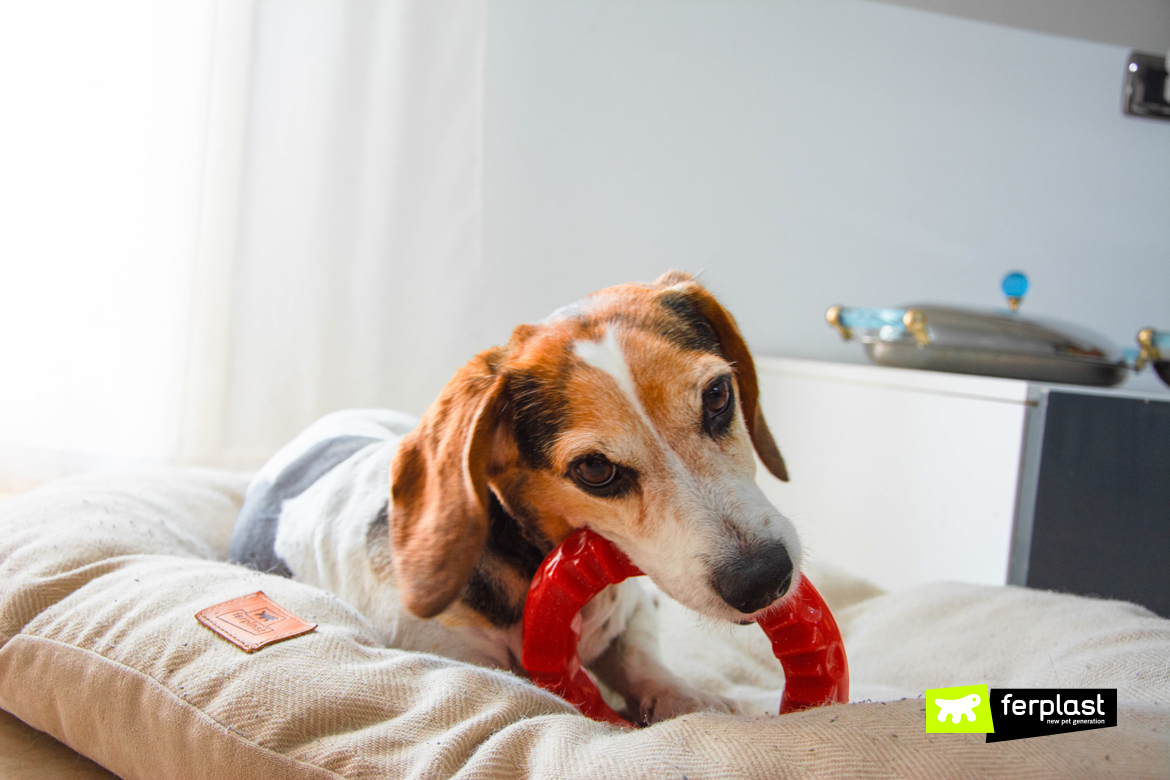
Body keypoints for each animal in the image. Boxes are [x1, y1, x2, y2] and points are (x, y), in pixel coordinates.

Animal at [224, 271, 800, 725]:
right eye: (595, 469)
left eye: (718, 395)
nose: (765, 579)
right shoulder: (455, 656)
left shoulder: (633, 613)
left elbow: (642, 660)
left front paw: (690, 699)